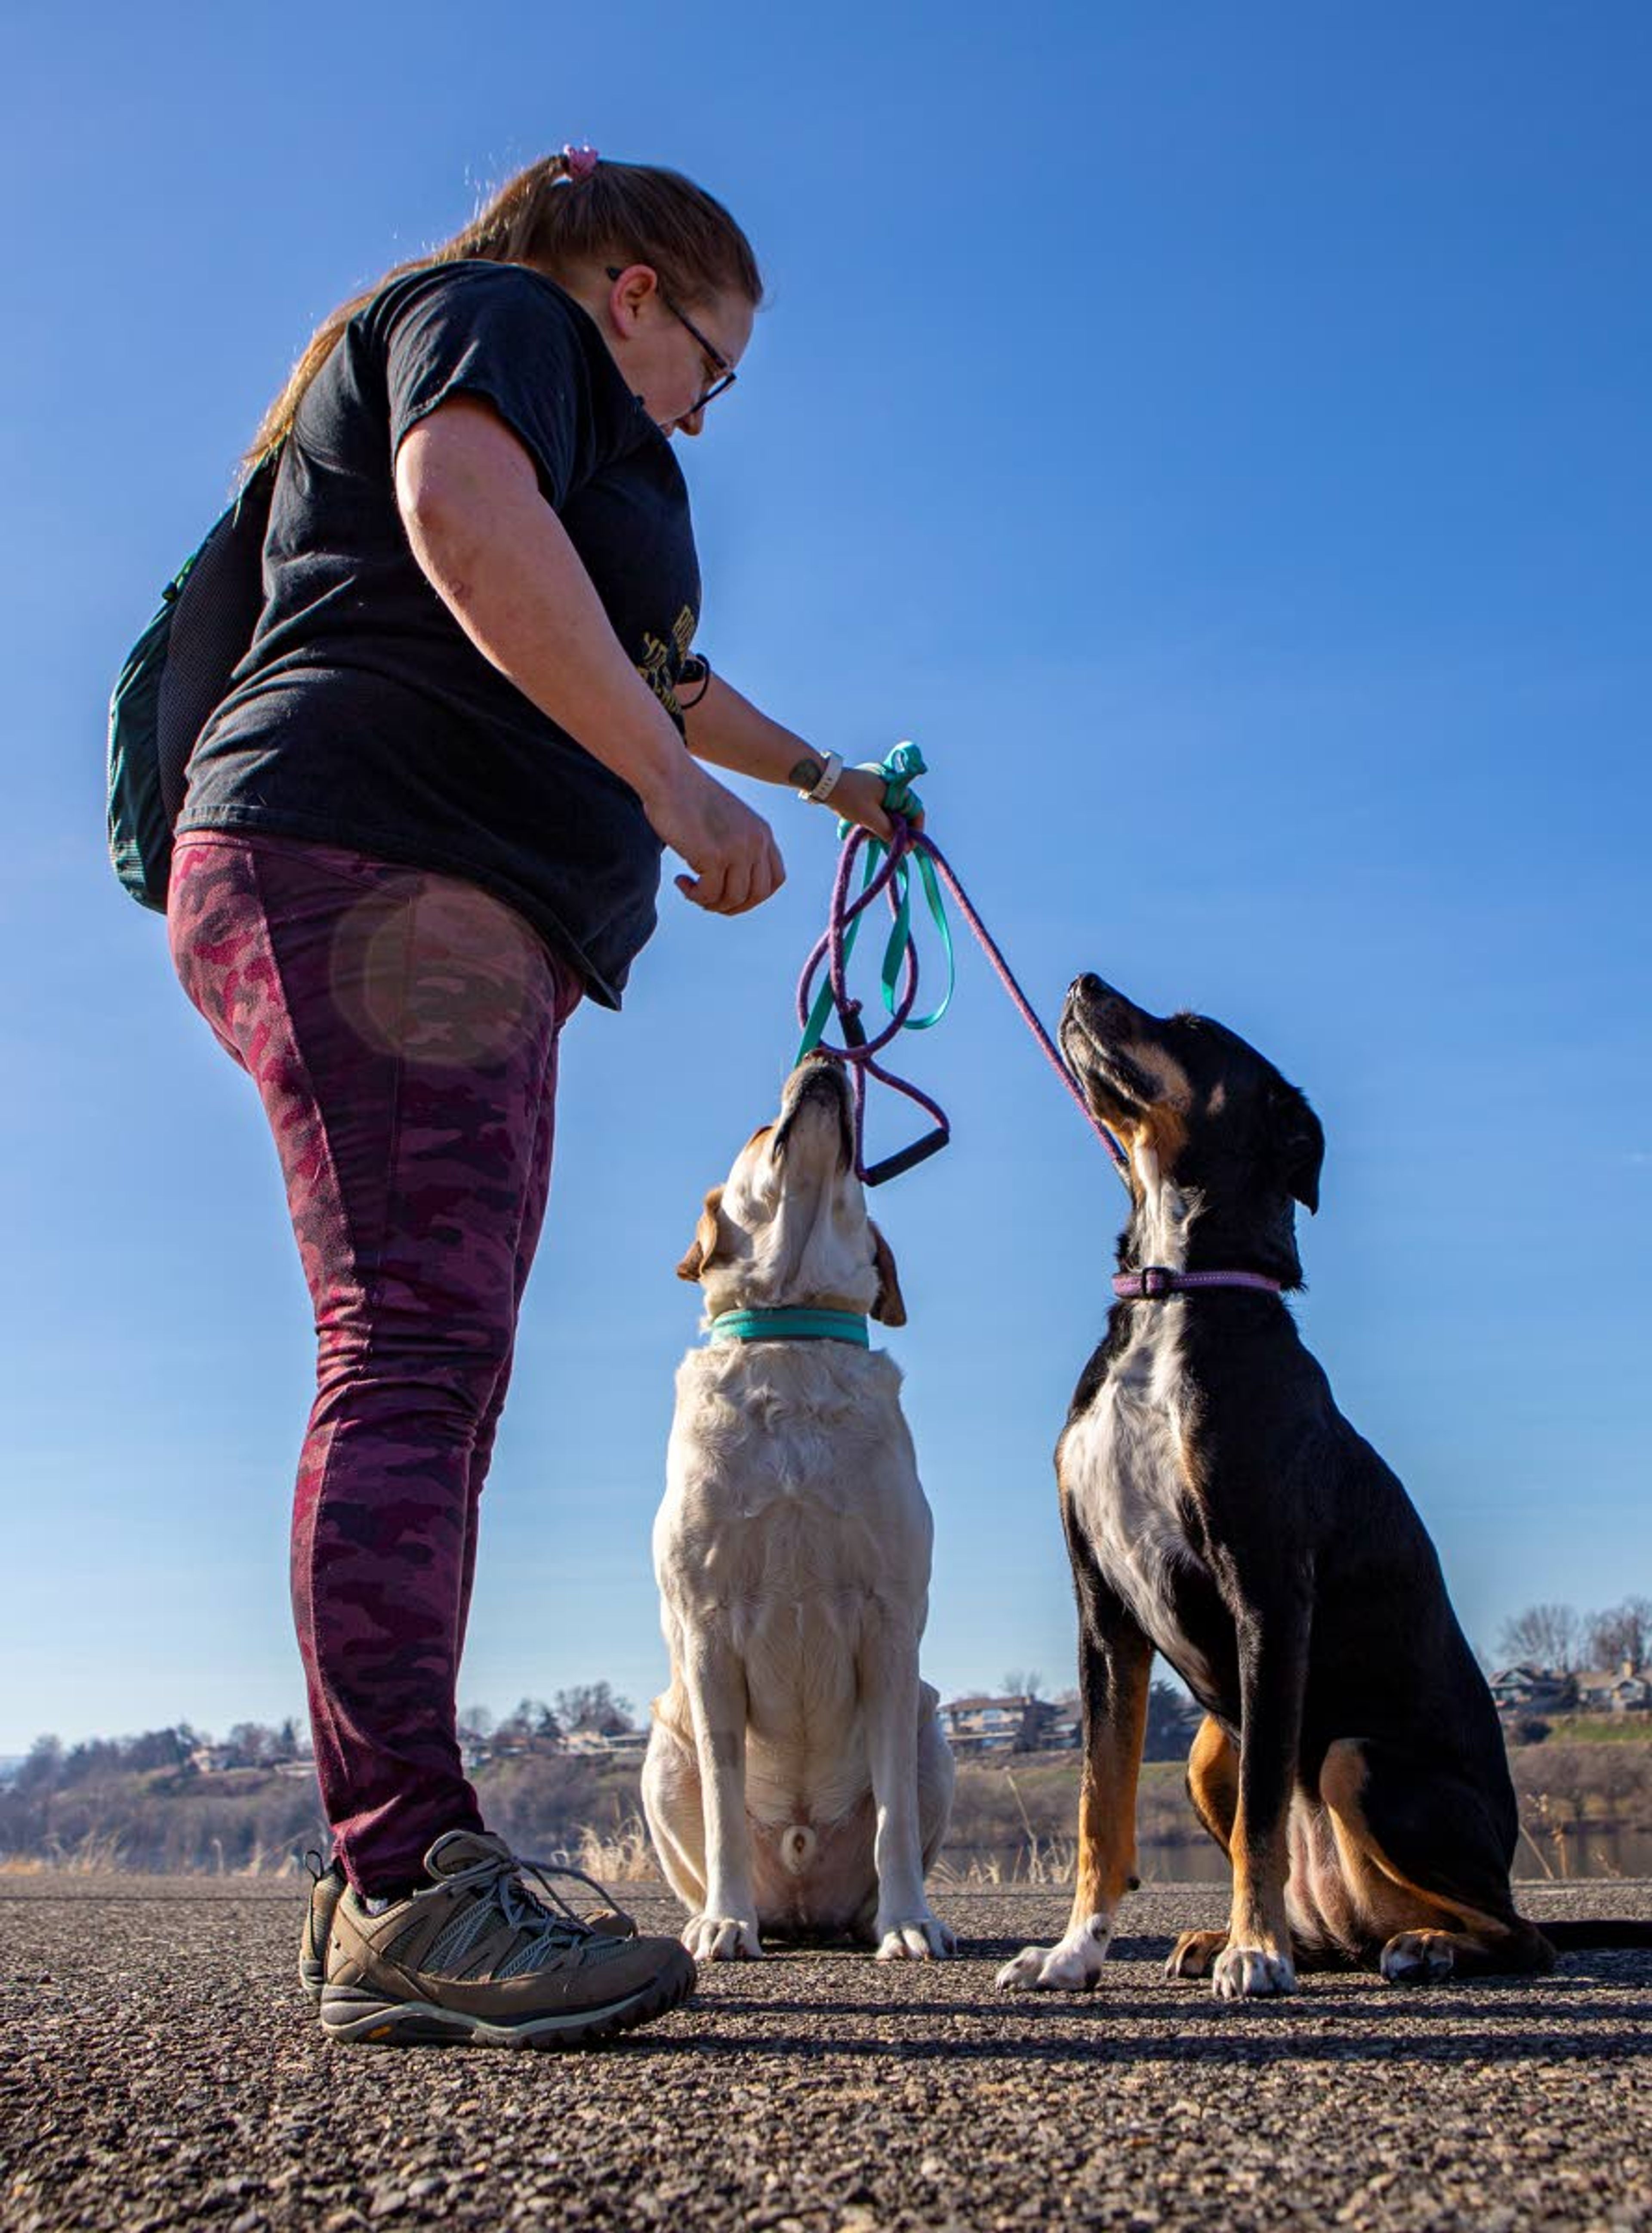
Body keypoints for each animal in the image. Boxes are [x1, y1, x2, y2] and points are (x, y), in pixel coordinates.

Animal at [1000, 978, 1643, 2010]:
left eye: (1194, 1029)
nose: (1081, 985)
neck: (1177, 1289)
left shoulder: (1267, 1592)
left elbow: (1262, 1812)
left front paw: (1257, 1953)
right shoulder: (1103, 1613)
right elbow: (1103, 1807)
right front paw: (1073, 1954)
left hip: (1359, 1756)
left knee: (1523, 1934)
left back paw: (1412, 1944)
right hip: (1207, 1748)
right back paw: (1244, 1934)